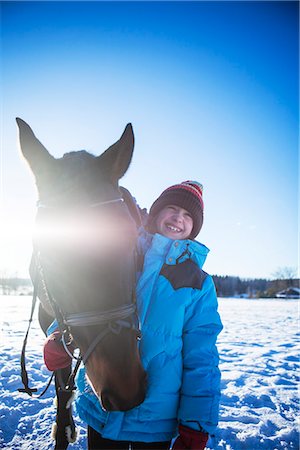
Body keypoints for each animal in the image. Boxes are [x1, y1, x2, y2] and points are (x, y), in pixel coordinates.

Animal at [17, 118, 147, 450]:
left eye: (131, 236)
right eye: (49, 249)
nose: (126, 390)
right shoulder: (53, 325)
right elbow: (62, 387)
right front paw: (64, 428)